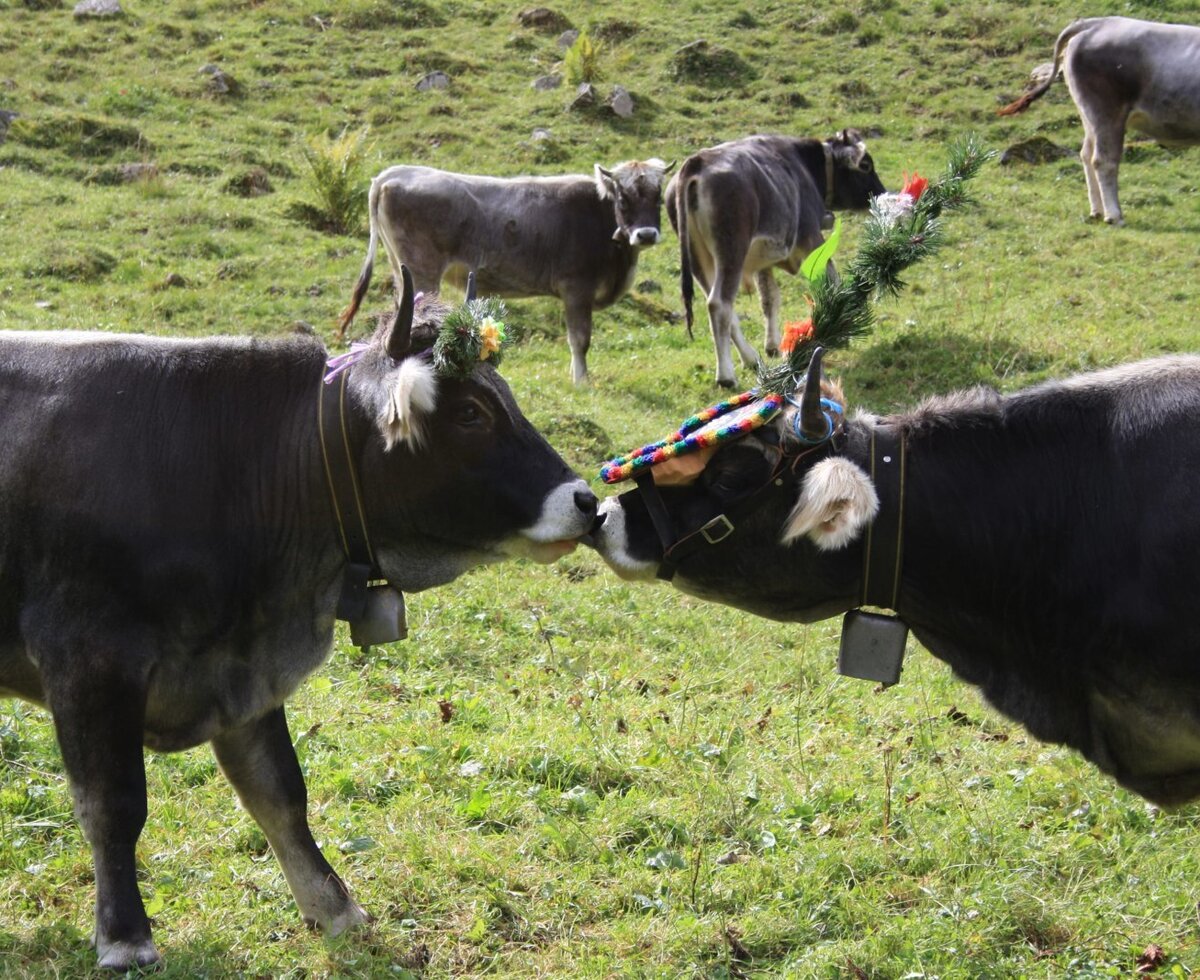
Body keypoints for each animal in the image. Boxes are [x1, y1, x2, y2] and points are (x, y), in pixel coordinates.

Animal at [0, 276, 599, 970]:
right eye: (471, 413)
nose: (587, 501)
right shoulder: (88, 660)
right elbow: (113, 805)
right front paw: (126, 936)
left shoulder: (243, 668)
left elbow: (280, 791)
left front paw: (333, 907)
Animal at [337, 159, 675, 384]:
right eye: (624, 198)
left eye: (658, 196)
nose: (646, 234)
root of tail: (395, 172)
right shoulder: (576, 288)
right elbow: (580, 339)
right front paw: (581, 381)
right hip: (423, 269)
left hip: (401, 269)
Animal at [666, 131, 885, 388]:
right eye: (866, 165)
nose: (881, 193)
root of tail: (696, 162)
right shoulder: (811, 237)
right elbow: (831, 280)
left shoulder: (764, 263)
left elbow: (770, 298)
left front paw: (772, 345)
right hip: (731, 249)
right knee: (719, 303)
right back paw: (726, 375)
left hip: (698, 258)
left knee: (724, 308)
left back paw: (750, 358)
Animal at [998, 16, 1200, 225]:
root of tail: (1097, 22)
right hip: (1107, 114)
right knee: (1103, 160)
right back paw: (1114, 215)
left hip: (1089, 117)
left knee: (1086, 154)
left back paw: (1097, 211)